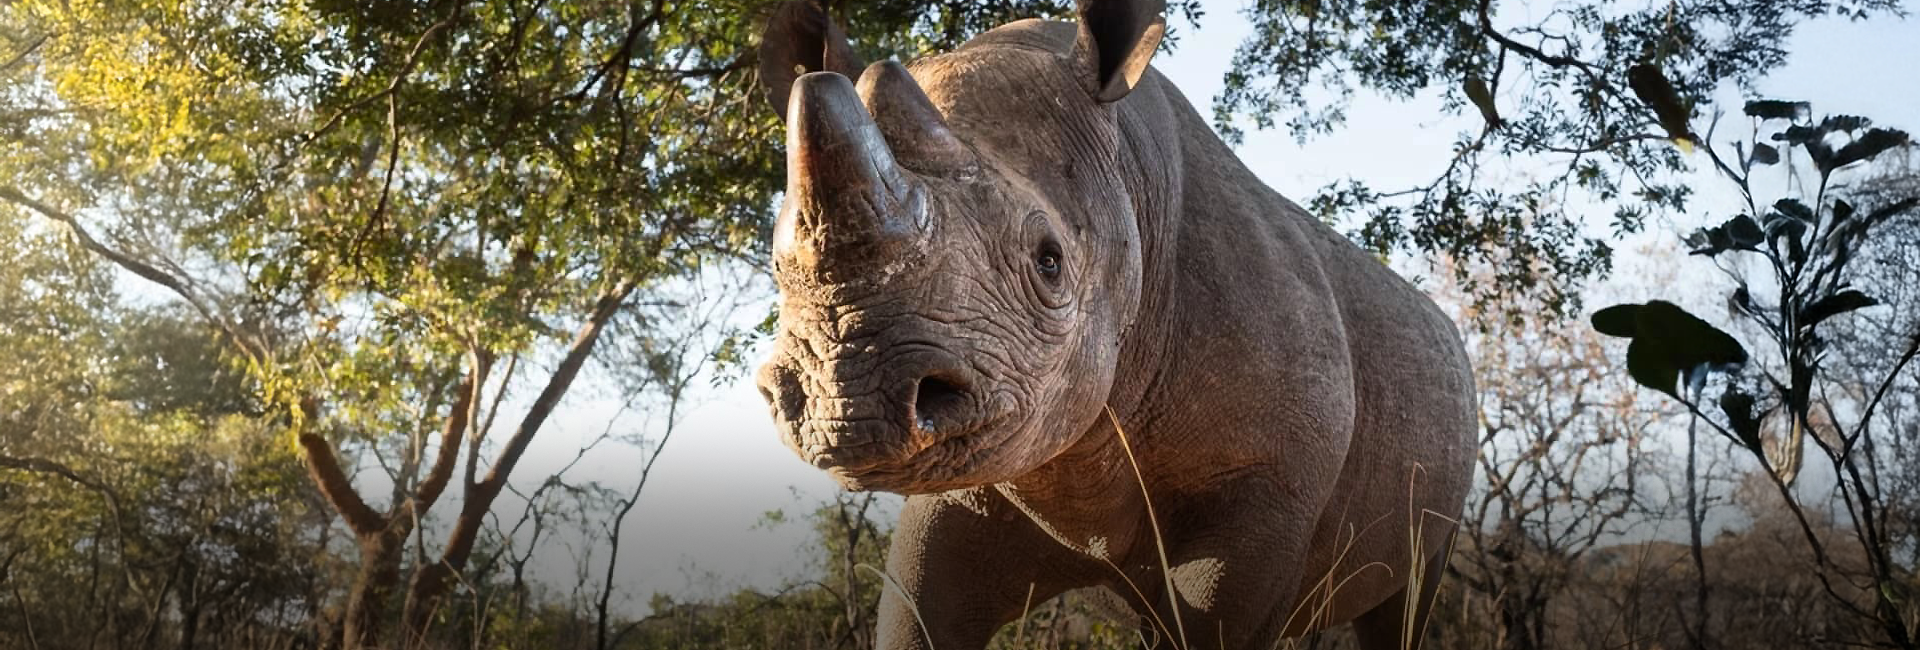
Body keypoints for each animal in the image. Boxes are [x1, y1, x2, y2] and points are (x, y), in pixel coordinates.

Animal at [751, 1, 1477, 648]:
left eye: (1049, 262)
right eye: (776, 267)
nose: (849, 405)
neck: (1129, 179)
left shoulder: (1267, 482)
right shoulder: (978, 477)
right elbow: (919, 605)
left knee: (1405, 601)